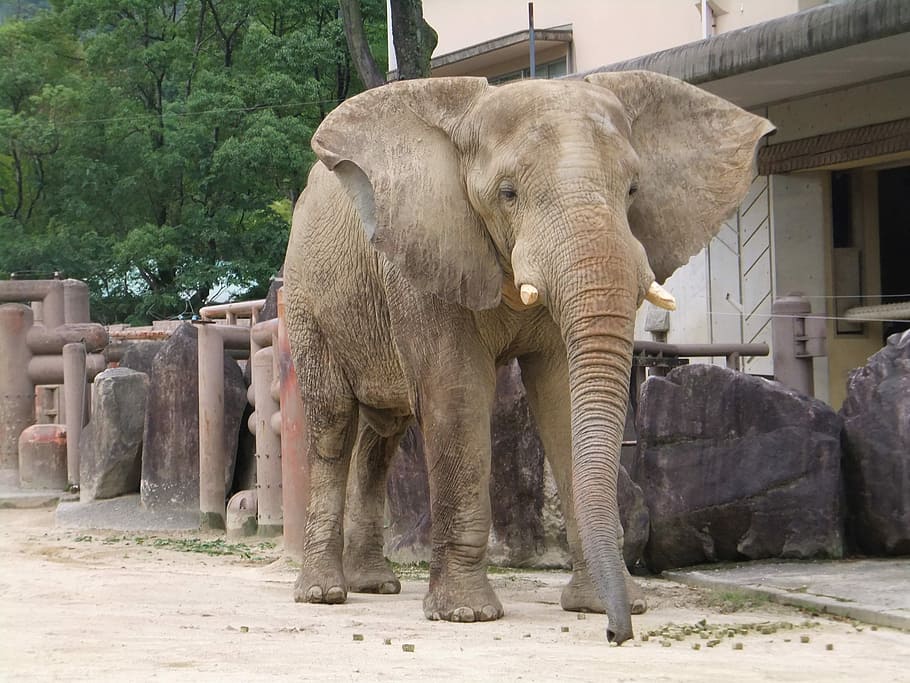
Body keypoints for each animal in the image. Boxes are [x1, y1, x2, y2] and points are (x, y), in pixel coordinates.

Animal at [283, 71, 773, 644]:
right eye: (508, 193)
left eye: (633, 190)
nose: (618, 634)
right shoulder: (424, 259)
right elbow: (457, 393)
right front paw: (465, 615)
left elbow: (562, 399)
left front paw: (598, 606)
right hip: (305, 295)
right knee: (334, 423)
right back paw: (324, 593)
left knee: (383, 434)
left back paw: (376, 585)